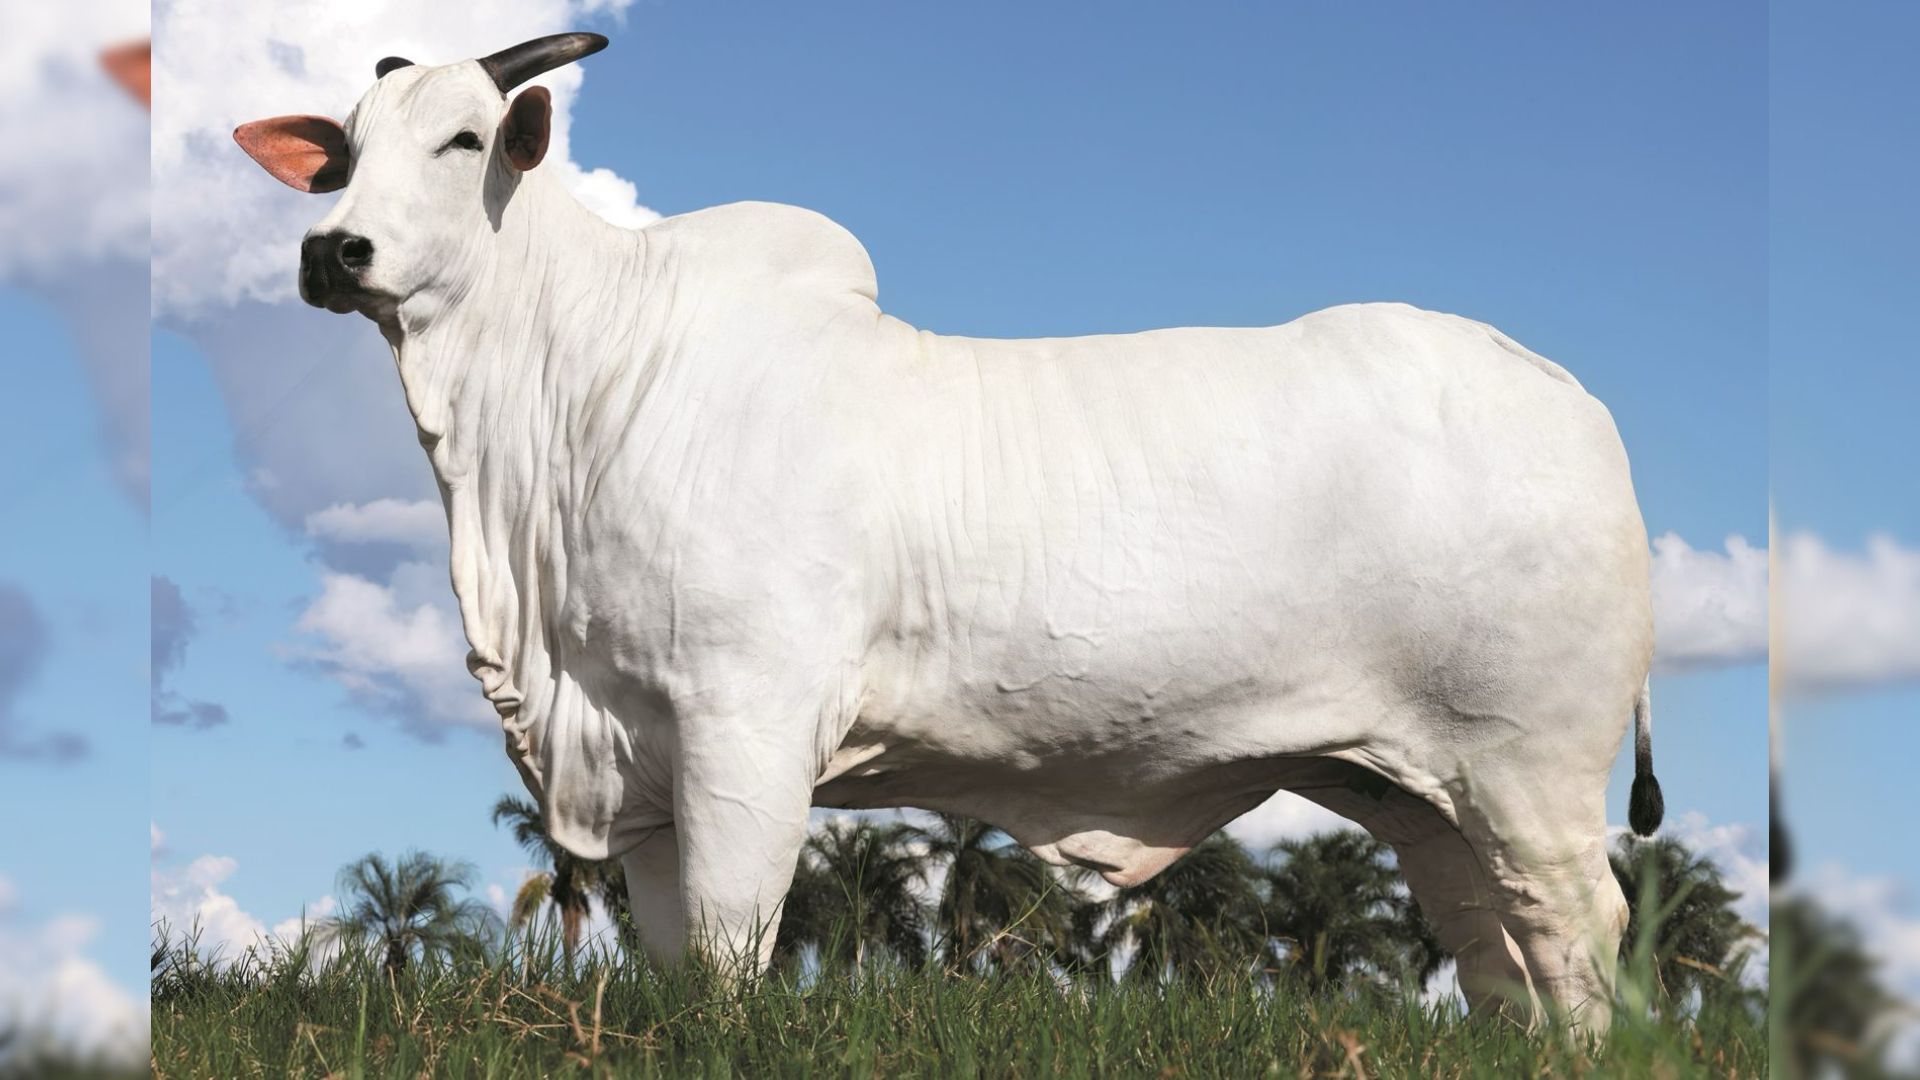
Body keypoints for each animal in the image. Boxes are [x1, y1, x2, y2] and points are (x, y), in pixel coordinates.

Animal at [235, 32, 1663, 1030]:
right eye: (341, 150)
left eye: (463, 140)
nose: (333, 250)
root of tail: (1564, 392)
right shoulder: (636, 757)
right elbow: (673, 955)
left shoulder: (747, 728)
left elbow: (733, 947)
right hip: (1421, 787)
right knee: (1491, 941)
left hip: (1530, 764)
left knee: (1580, 925)